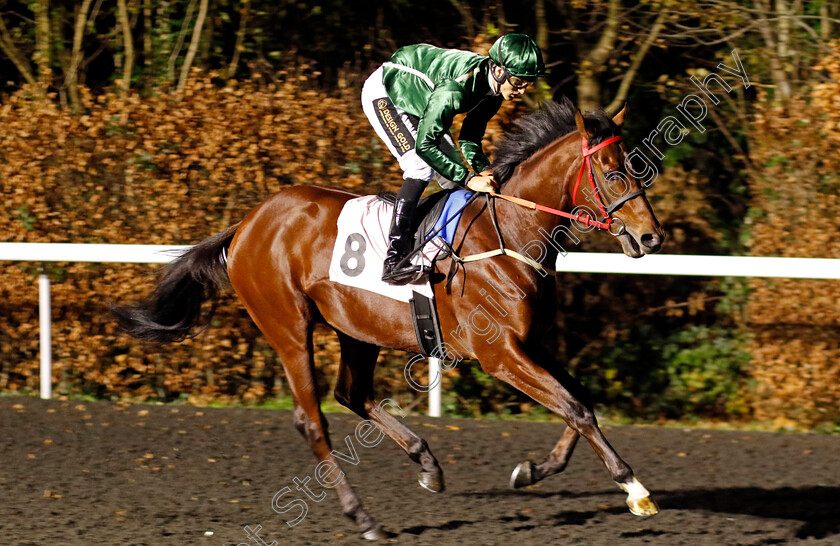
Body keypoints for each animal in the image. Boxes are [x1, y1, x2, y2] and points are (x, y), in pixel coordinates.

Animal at [113, 96, 664, 536]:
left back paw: (427, 463)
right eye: (614, 173)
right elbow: (573, 407)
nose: (652, 237)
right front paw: (635, 489)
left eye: (636, 167)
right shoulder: (500, 355)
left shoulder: (533, 343)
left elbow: (581, 400)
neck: (507, 232)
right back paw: (363, 517)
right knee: (313, 420)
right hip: (288, 328)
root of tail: (247, 223)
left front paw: (533, 470)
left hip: (357, 329)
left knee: (351, 394)